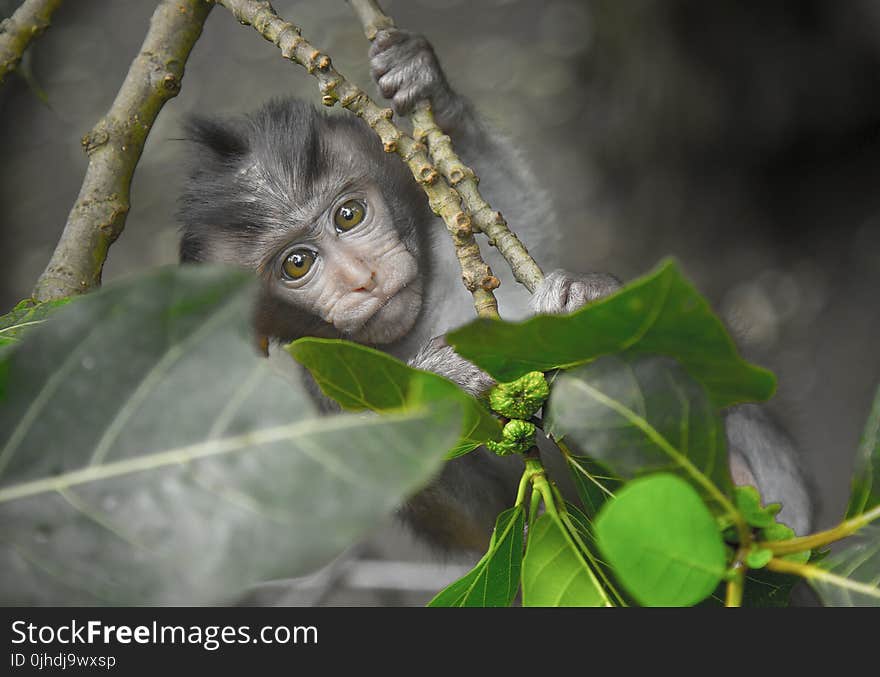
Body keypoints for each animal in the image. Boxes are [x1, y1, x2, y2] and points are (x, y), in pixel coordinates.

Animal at [177, 30, 812, 556]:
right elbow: (479, 523)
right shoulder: (323, 392)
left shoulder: (447, 244)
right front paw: (444, 379)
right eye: (297, 264)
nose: (361, 277)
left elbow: (503, 206)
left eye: (349, 215)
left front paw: (424, 80)